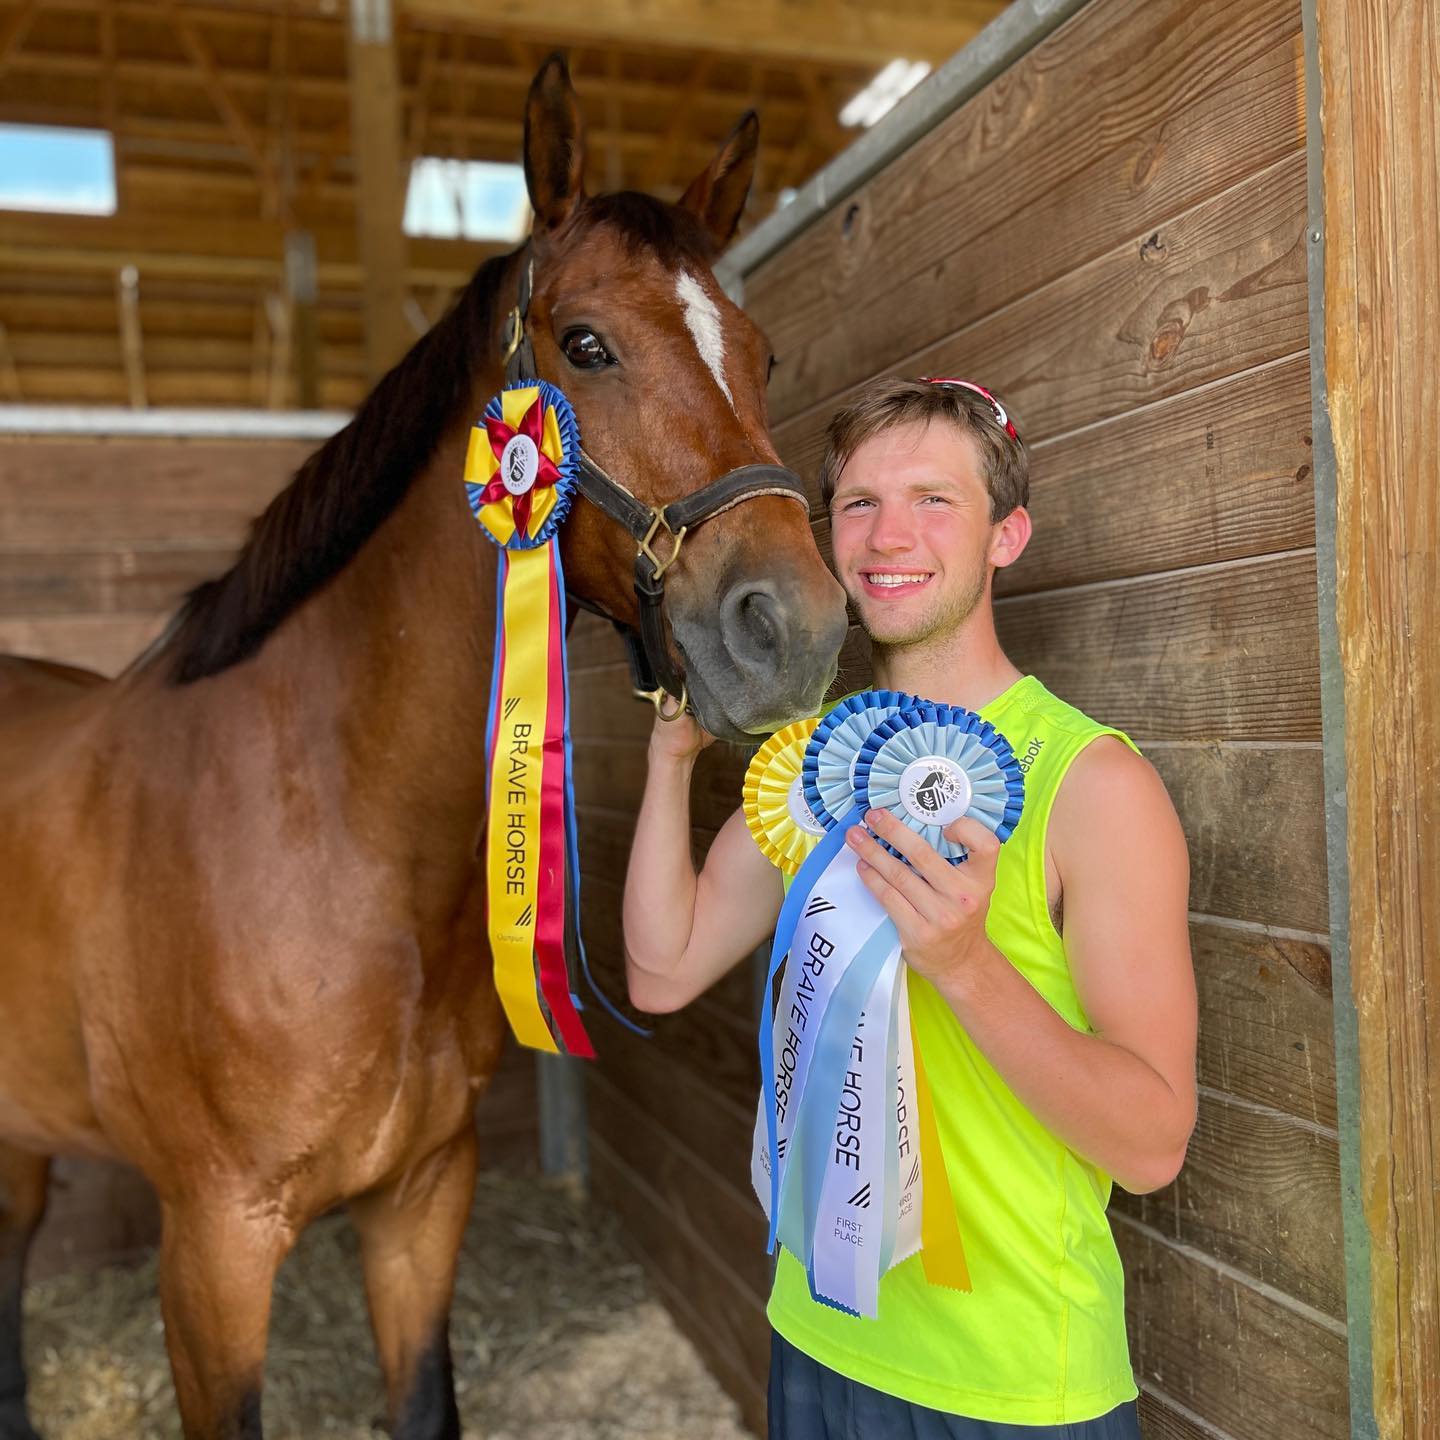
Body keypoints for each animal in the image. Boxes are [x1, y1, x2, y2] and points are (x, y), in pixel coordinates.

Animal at [0, 55, 848, 1440]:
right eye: (586, 343)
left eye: (763, 353)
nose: (795, 629)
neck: (329, 830)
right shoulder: (212, 1251)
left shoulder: (421, 1200)